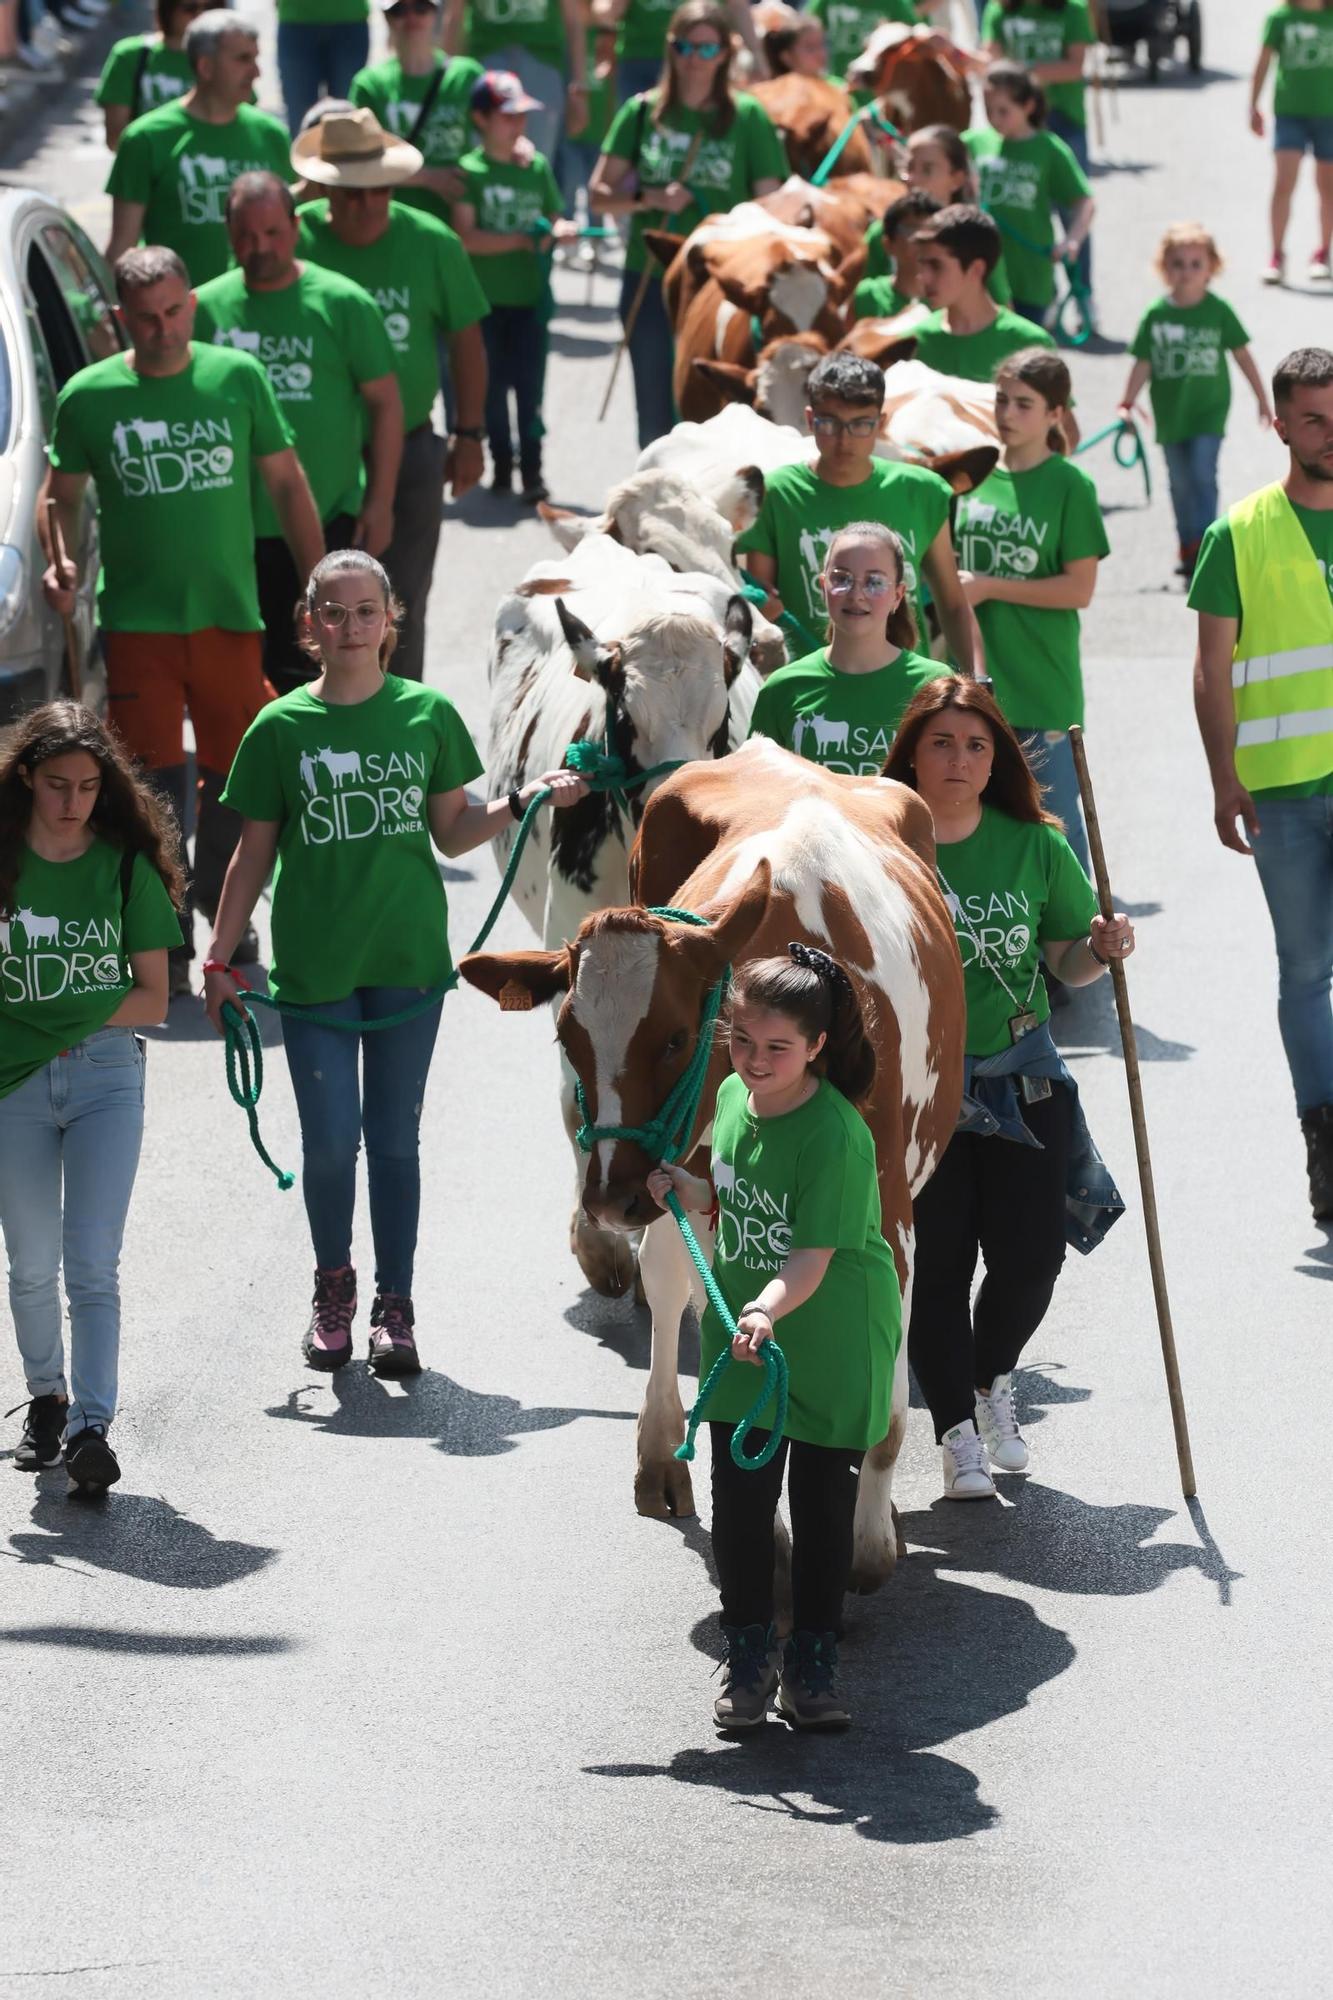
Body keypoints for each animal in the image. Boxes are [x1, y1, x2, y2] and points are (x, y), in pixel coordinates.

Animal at [462, 736, 960, 1592]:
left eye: (673, 1037)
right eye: (568, 1037)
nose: (609, 1196)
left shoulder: (890, 1212)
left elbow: (879, 1390)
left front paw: (867, 1535)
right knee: (669, 1287)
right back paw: (661, 1452)